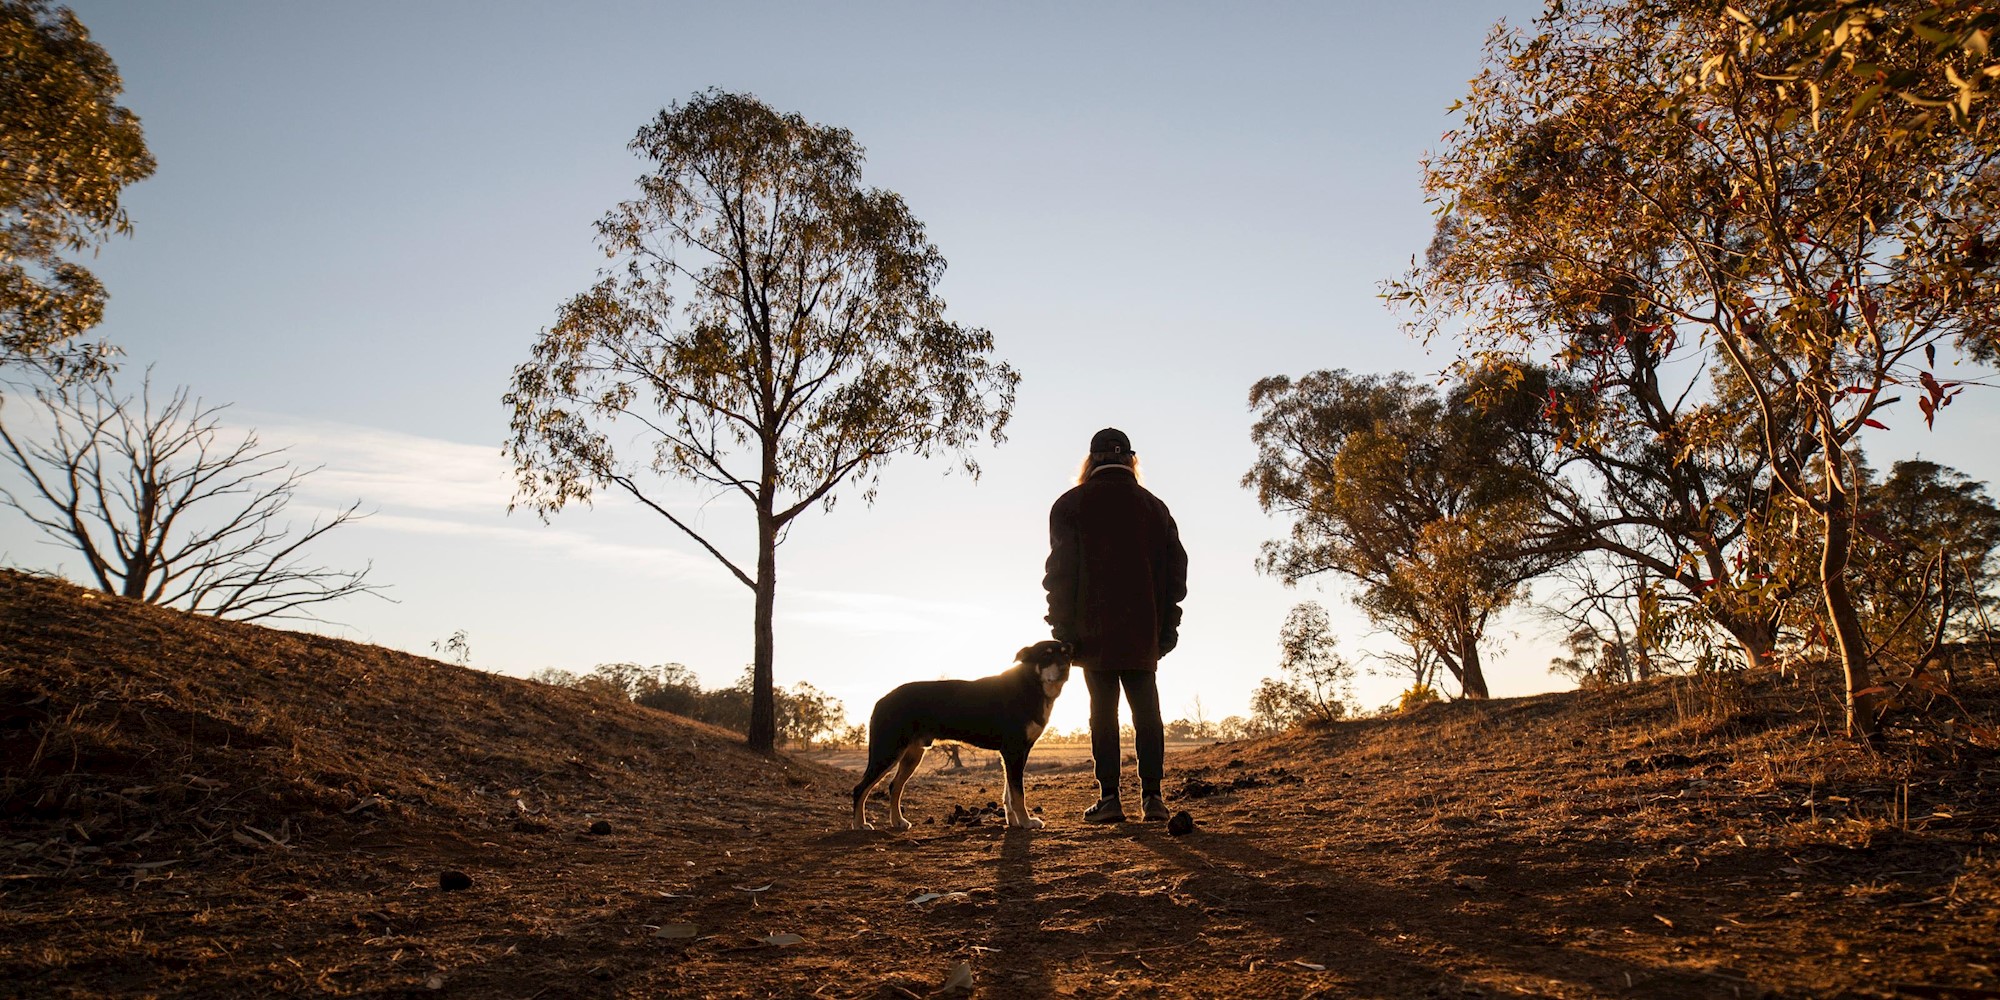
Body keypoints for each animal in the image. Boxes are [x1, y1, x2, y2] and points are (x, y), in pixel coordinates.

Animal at [860, 636, 1080, 832]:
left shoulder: (1014, 753)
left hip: (912, 755)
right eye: (1045, 655)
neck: (1030, 685)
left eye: (1066, 655)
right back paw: (860, 824)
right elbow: (1018, 794)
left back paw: (897, 821)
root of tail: (881, 701)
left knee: (894, 787)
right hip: (888, 752)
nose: (1065, 668)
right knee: (860, 789)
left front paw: (1014, 821)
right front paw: (1026, 822)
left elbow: (1008, 794)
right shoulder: (1014, 751)